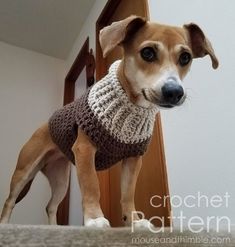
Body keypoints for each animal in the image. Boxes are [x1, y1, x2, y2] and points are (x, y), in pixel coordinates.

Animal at [0, 15, 218, 228]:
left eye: (185, 57)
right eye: (147, 53)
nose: (174, 92)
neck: (130, 105)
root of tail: (43, 125)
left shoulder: (133, 159)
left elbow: (128, 194)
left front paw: (133, 221)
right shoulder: (85, 150)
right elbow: (92, 186)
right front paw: (94, 218)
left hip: (60, 179)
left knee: (51, 206)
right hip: (23, 173)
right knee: (10, 201)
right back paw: (6, 224)